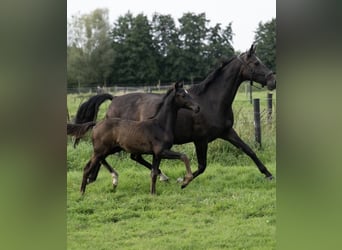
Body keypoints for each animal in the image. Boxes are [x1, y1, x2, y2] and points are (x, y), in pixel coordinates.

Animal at [71, 44, 276, 182]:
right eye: (256, 63)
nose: (273, 81)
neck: (211, 101)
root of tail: (114, 99)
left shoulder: (227, 132)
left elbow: (249, 150)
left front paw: (268, 174)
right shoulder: (200, 140)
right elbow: (202, 166)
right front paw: (183, 180)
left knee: (126, 157)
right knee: (110, 156)